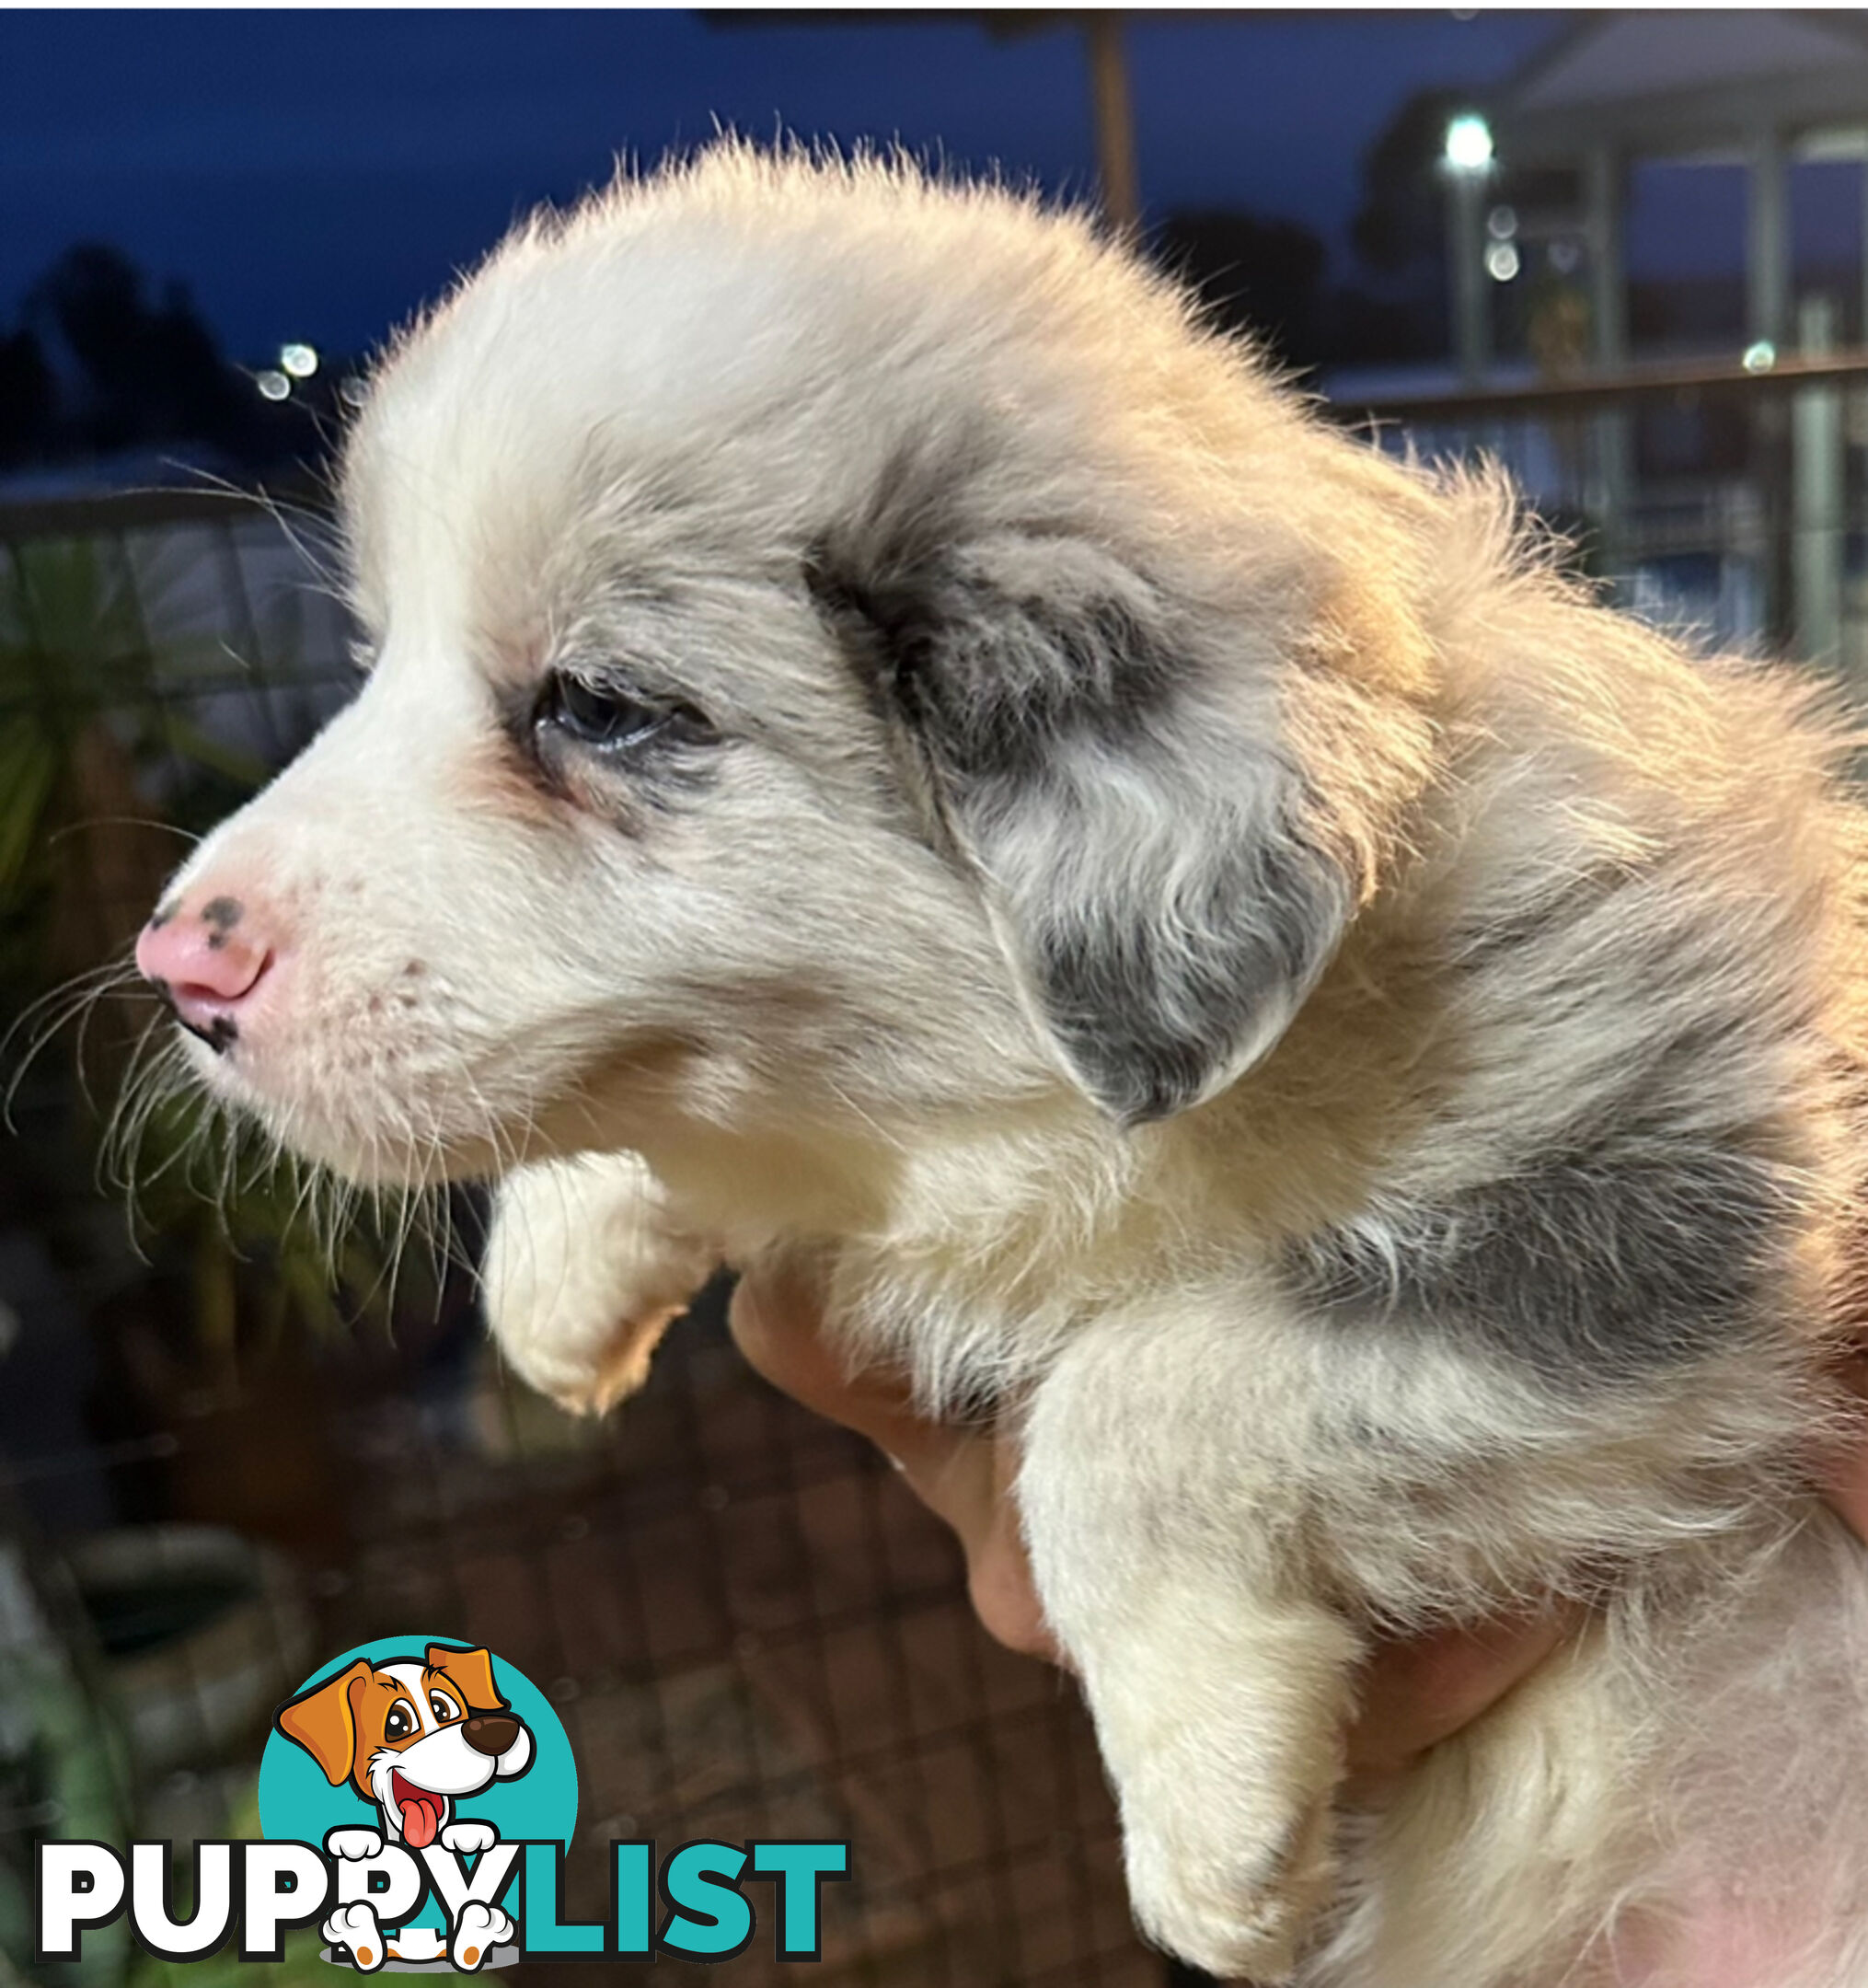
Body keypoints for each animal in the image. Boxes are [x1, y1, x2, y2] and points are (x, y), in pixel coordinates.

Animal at [139, 155, 1868, 1988]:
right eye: (375, 660)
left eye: (597, 707)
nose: (173, 969)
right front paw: (561, 1283)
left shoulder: (1679, 1216)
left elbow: (1132, 1390)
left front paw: (1212, 1828)